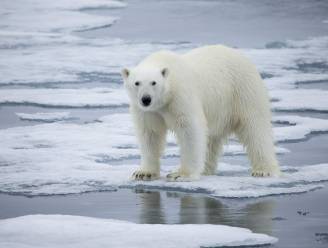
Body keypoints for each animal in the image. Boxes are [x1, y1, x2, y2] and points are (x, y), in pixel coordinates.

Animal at [121, 44, 280, 181]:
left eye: (154, 82)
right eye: (137, 83)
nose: (146, 99)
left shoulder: (181, 96)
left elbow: (190, 129)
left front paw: (181, 174)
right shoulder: (148, 111)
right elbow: (150, 134)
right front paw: (143, 173)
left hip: (242, 91)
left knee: (255, 128)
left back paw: (263, 170)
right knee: (211, 140)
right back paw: (205, 169)